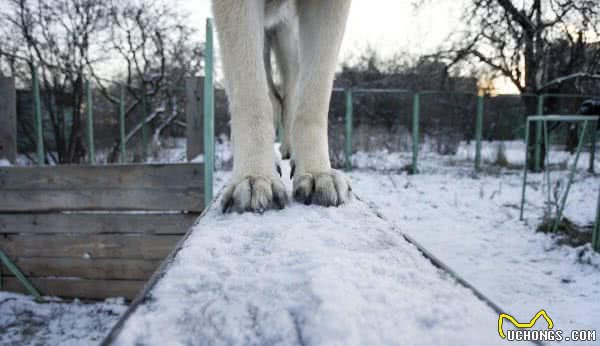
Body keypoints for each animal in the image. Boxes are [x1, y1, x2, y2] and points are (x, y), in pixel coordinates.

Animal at [214, 0, 352, 212]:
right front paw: (255, 176)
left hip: (288, 38)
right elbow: (252, 98)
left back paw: (291, 151)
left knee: (291, 92)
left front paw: (318, 172)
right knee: (272, 98)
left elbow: (314, 101)